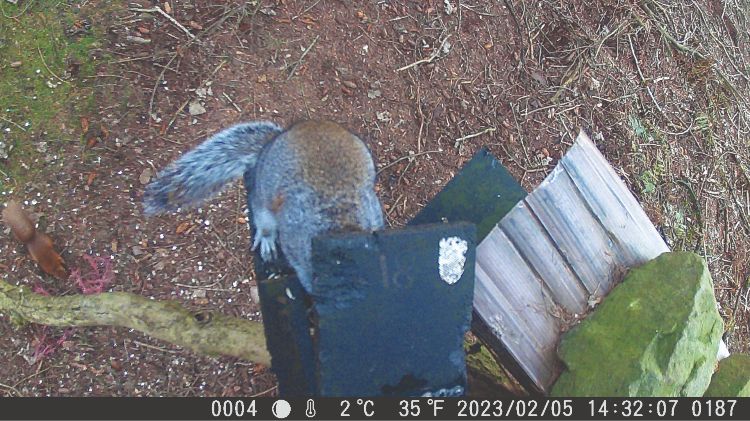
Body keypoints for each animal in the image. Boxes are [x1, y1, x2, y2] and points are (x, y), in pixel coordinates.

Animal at [144, 120, 384, 292]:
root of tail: (272, 143)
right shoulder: (294, 234)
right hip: (263, 200)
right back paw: (267, 239)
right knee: (265, 220)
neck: (341, 221)